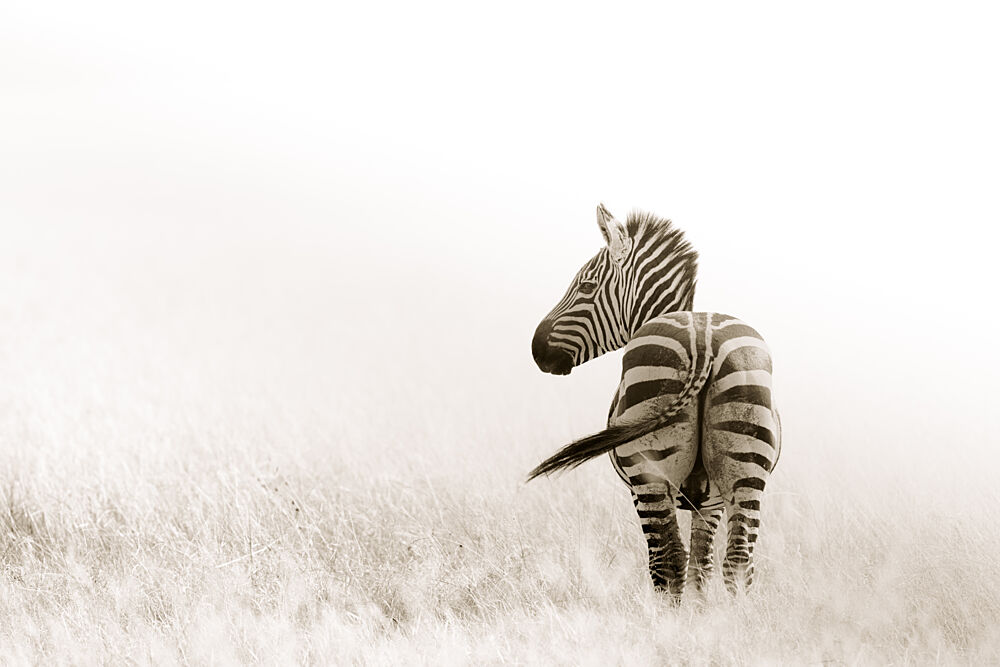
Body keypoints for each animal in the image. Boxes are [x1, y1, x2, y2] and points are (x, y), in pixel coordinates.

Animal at [528, 204, 781, 602]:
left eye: (585, 286)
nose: (537, 349)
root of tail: (702, 339)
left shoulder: (641, 489)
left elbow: (682, 562)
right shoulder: (710, 502)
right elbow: (702, 566)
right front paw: (702, 615)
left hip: (649, 473)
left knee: (667, 561)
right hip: (747, 466)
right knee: (739, 562)